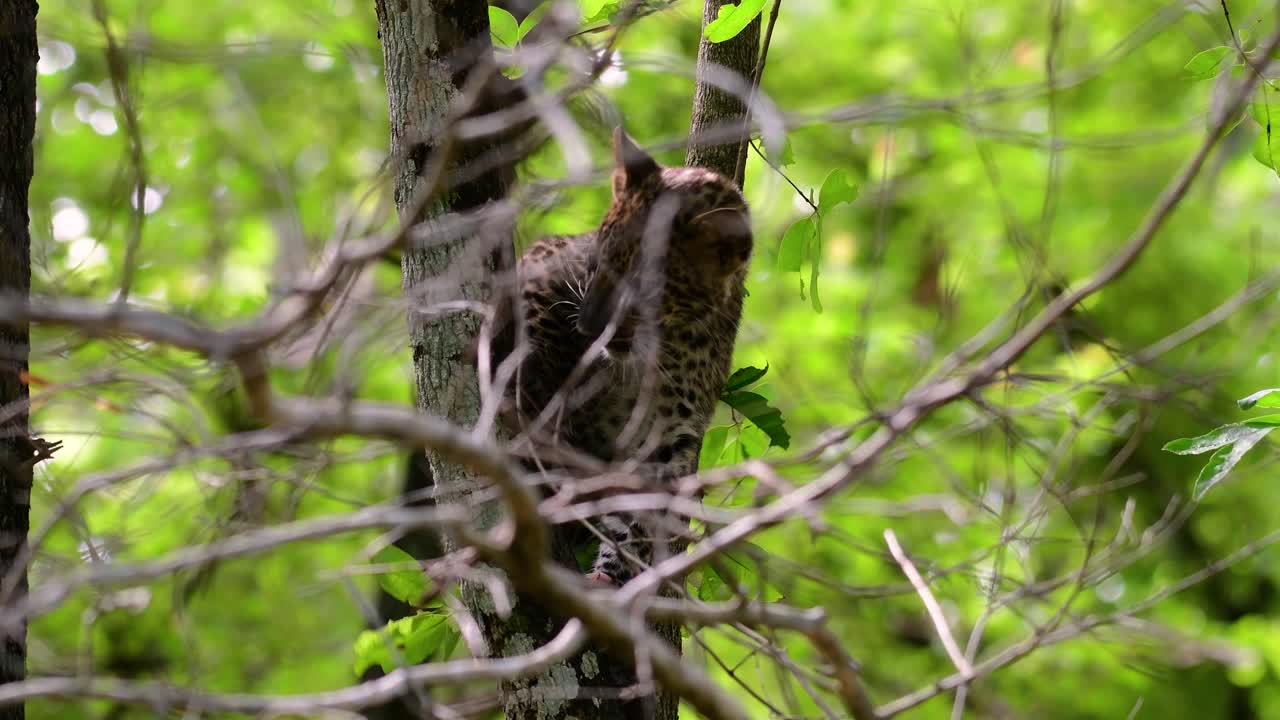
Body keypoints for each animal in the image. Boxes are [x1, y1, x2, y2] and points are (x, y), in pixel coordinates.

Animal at [492, 128, 752, 585]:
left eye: (646, 288)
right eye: (597, 264)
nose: (589, 329)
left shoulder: (668, 434)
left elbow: (642, 517)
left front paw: (610, 574)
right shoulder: (546, 256)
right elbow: (542, 315)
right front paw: (540, 386)